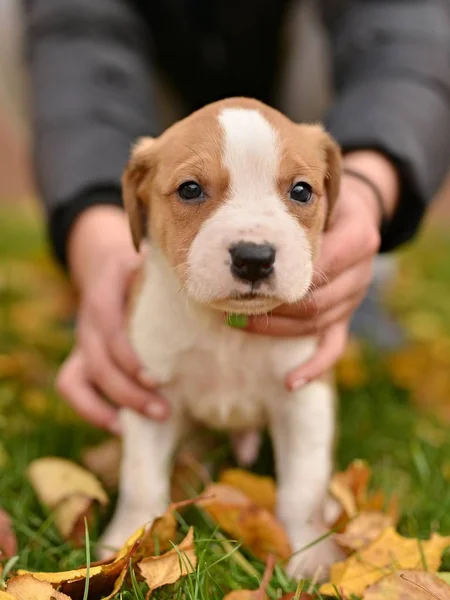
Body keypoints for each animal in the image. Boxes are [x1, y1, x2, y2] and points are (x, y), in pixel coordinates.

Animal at [100, 97, 342, 576]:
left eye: (301, 191)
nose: (254, 258)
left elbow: (303, 486)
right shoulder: (150, 394)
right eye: (190, 189)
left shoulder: (303, 397)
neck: (226, 327)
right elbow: (140, 479)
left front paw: (311, 557)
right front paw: (125, 544)